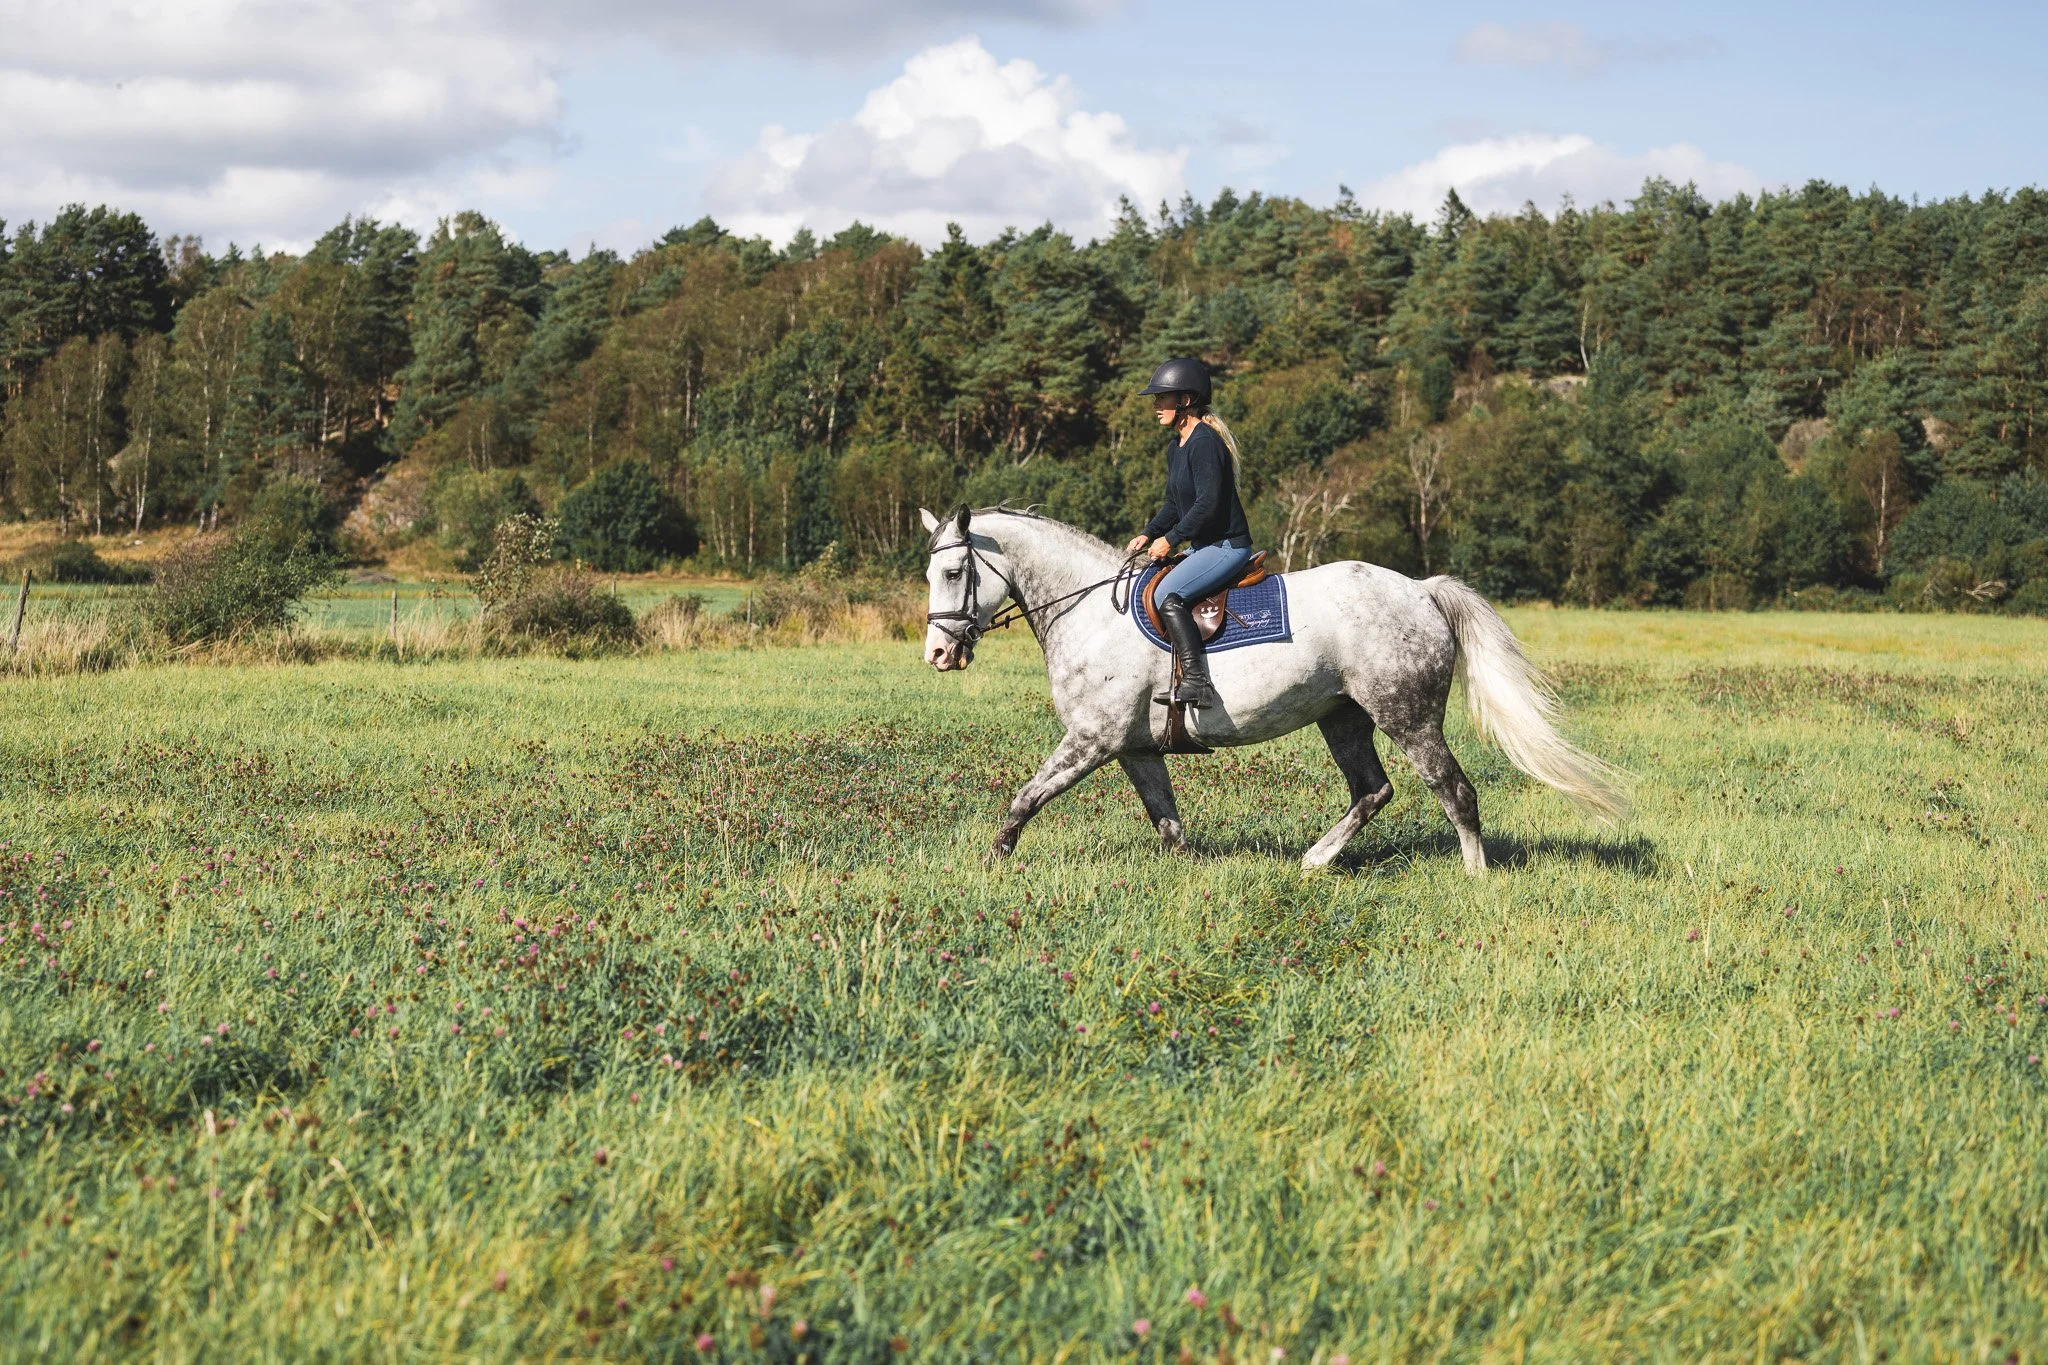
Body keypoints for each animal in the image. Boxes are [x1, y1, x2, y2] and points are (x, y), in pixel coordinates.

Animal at [918, 505, 1626, 872]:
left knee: (1453, 790)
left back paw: (1475, 877)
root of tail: (1422, 590)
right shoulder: (1134, 748)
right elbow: (1167, 821)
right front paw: (1192, 874)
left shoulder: (1091, 740)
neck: (1090, 610)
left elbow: (1026, 798)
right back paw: (1315, 859)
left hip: (1407, 715)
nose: (938, 655)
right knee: (1373, 789)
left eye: (953, 572)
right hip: (1342, 716)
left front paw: (993, 862)